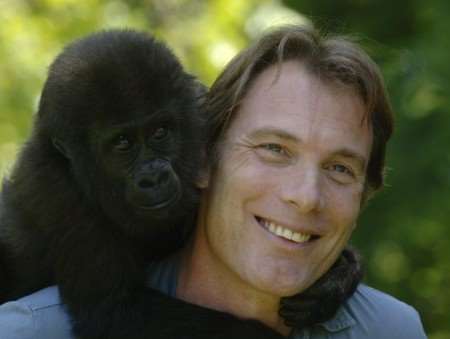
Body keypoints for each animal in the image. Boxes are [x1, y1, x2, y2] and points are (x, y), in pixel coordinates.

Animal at [0, 29, 362, 339]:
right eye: (122, 144)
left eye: (161, 132)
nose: (154, 176)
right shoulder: (56, 193)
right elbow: (114, 309)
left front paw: (338, 279)